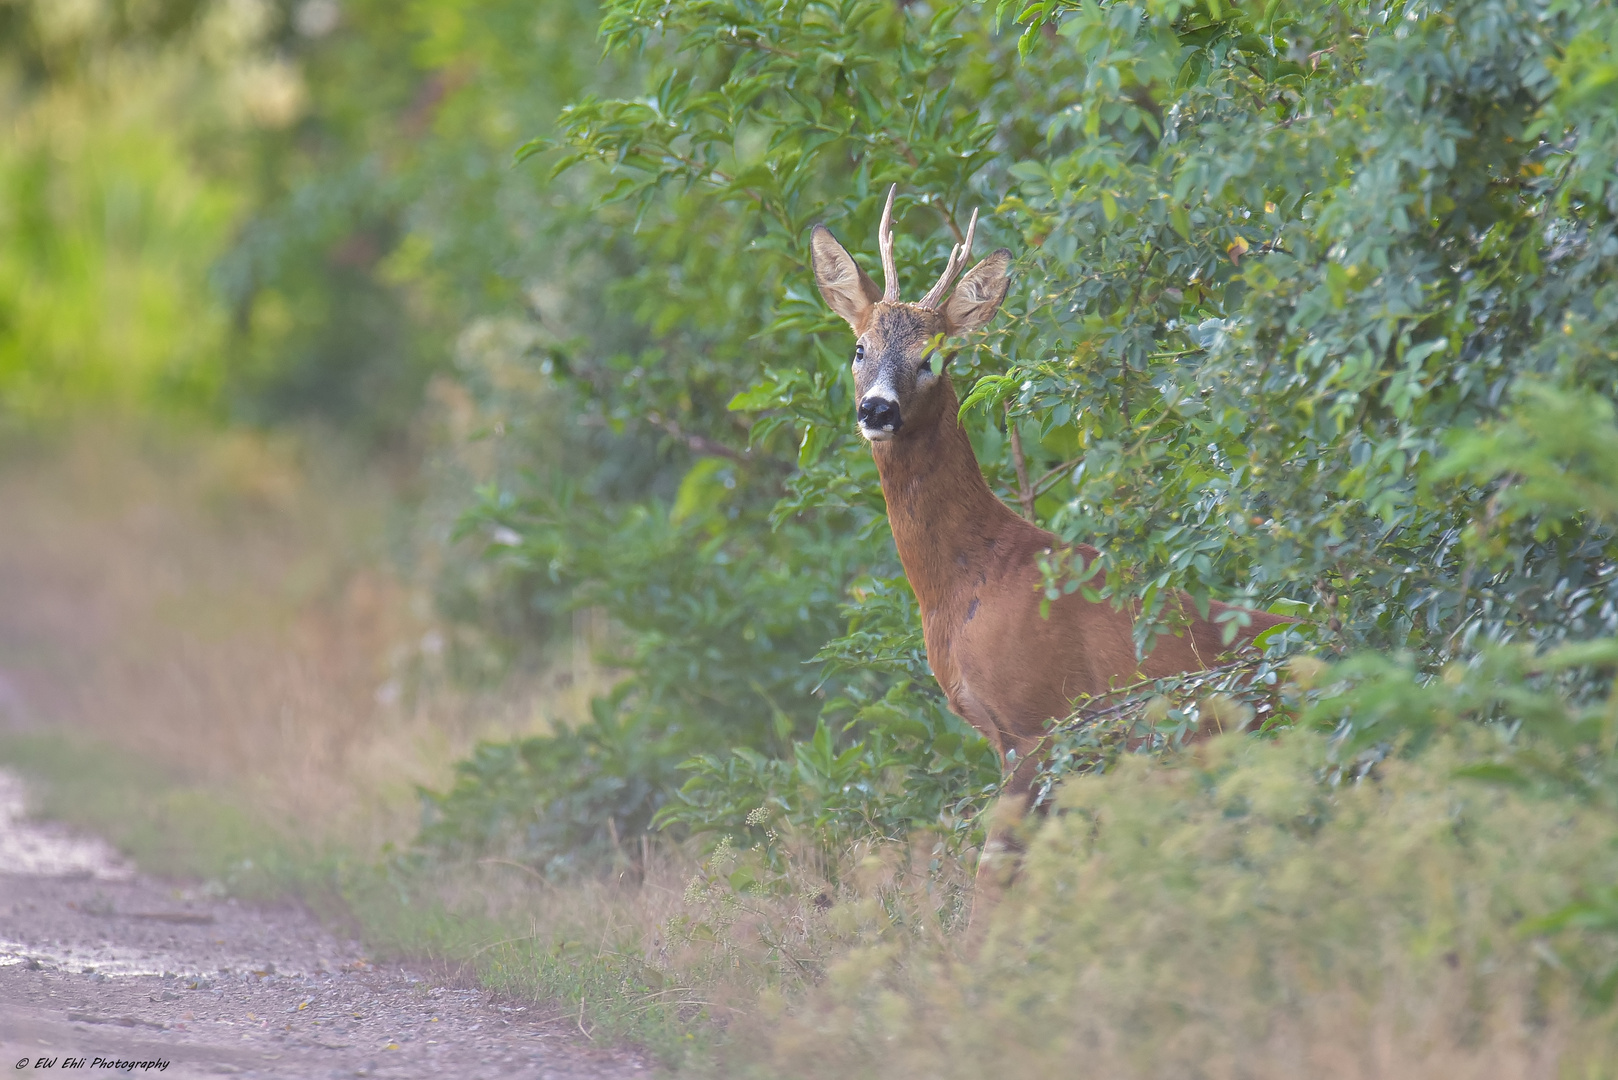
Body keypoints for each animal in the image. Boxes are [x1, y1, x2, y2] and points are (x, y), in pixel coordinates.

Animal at [809, 186, 1287, 893]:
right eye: (858, 348)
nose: (877, 409)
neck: (970, 581)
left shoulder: (1040, 722)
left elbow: (996, 882)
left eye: (933, 358)